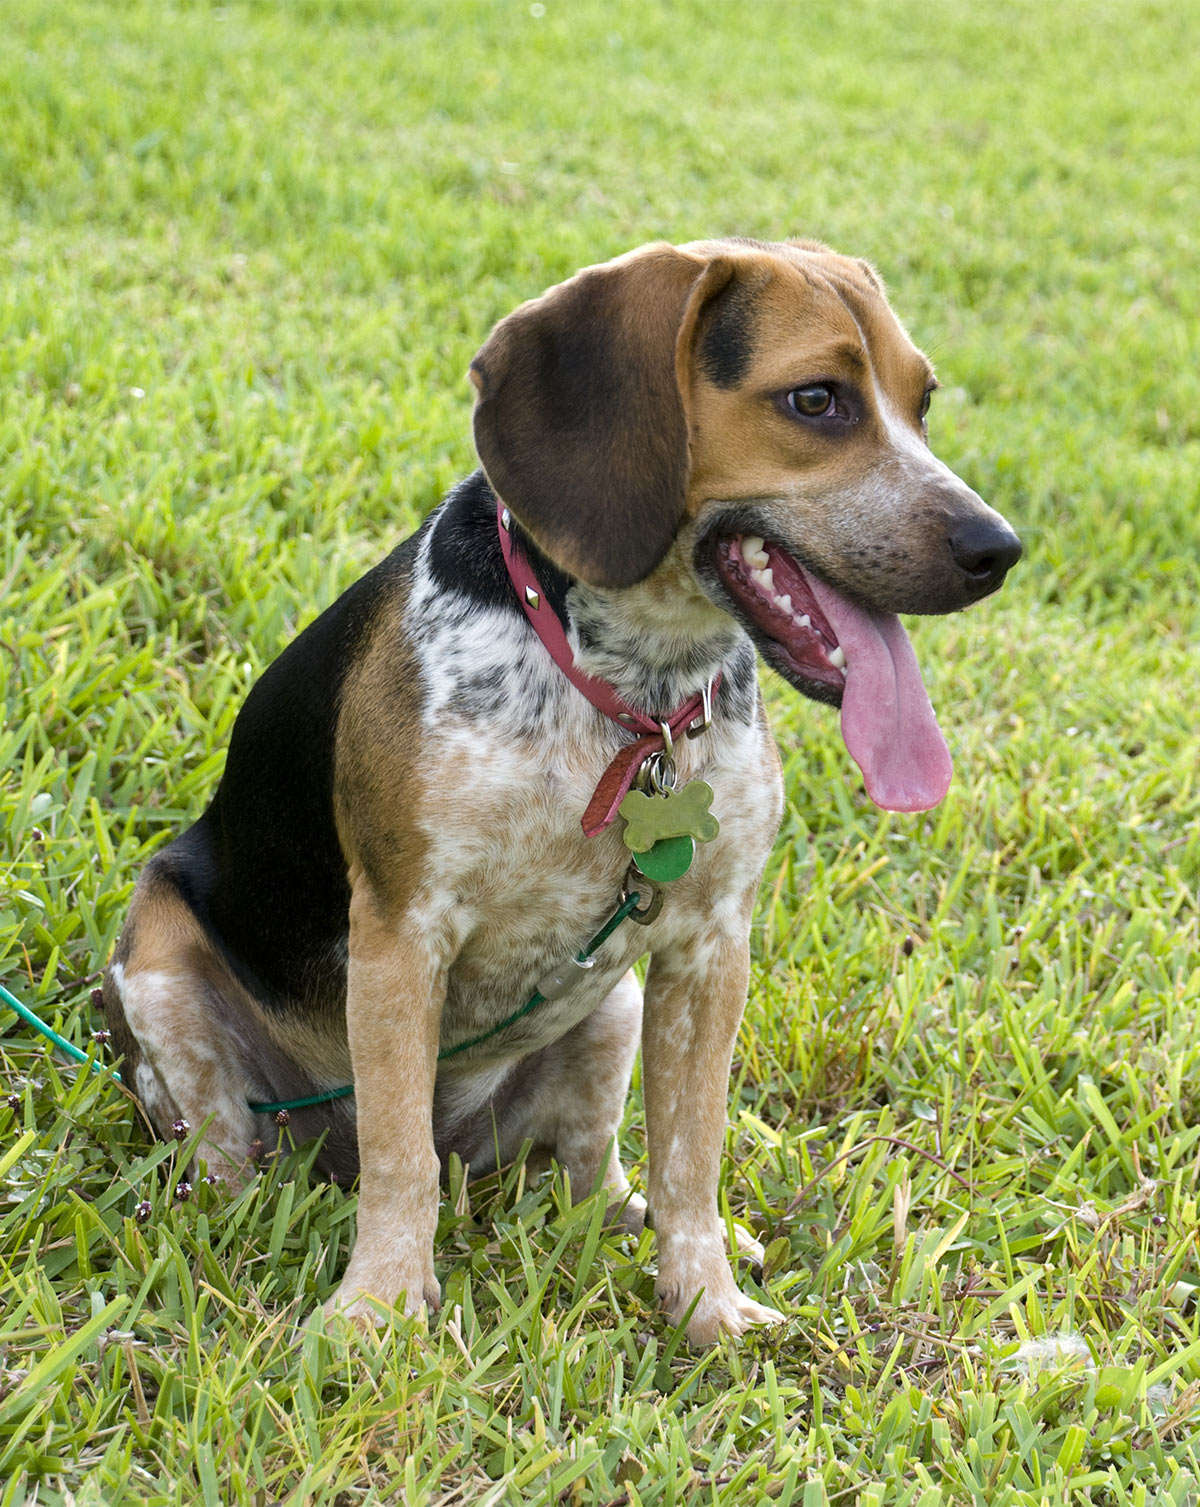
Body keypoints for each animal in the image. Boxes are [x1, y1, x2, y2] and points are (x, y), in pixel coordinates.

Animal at [105, 235, 1019, 1344]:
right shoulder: (402, 932)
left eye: (922, 401)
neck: (631, 695)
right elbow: (402, 1157)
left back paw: (624, 1219)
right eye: (817, 400)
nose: (998, 549)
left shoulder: (713, 945)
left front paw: (706, 1304)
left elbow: (690, 1156)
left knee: (594, 1171)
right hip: (158, 969)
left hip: (613, 1007)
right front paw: (379, 1311)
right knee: (250, 1148)